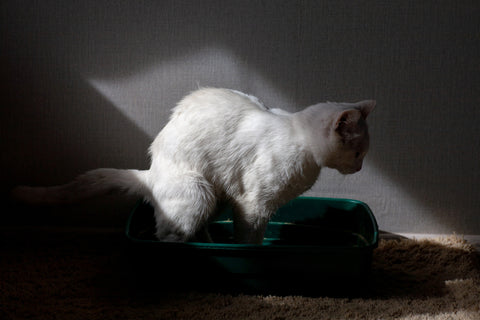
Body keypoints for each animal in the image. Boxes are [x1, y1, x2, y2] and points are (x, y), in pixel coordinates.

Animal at [12, 89, 376, 244]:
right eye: (359, 153)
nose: (361, 170)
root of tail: (150, 173)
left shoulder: (245, 205)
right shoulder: (253, 206)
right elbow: (250, 241)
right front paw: (250, 253)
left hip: (217, 199)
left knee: (193, 230)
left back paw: (210, 240)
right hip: (198, 194)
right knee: (167, 236)